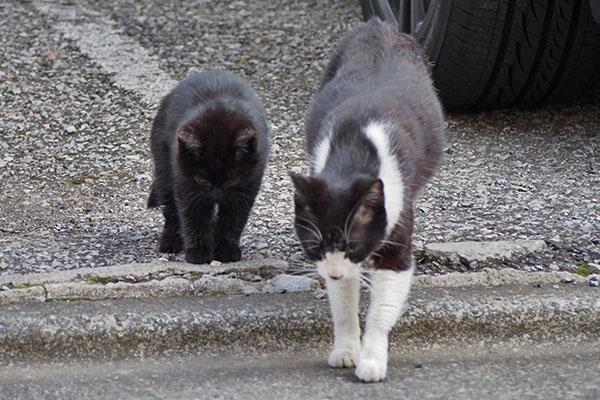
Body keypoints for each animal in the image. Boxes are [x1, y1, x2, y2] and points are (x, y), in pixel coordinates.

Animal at [149, 71, 270, 266]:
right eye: (202, 179)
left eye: (231, 179)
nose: (217, 193)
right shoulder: (186, 181)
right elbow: (193, 216)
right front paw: (198, 252)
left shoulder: (248, 184)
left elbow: (234, 219)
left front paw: (226, 250)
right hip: (164, 165)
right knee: (170, 207)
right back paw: (171, 241)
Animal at [290, 18, 446, 382]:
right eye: (315, 247)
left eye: (352, 244)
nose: (333, 273)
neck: (353, 155)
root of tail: (380, 25)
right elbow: (344, 305)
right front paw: (347, 350)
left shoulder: (397, 223)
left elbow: (381, 308)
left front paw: (372, 361)